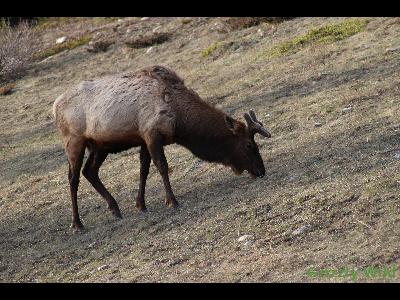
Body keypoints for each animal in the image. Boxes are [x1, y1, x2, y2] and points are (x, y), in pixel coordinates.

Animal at [53, 65, 272, 230]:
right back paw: (77, 223)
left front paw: (141, 205)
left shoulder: (144, 138)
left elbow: (144, 170)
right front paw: (172, 201)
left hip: (100, 146)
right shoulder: (152, 134)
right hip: (74, 141)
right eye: (249, 144)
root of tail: (54, 107)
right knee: (73, 178)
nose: (261, 170)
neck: (181, 121)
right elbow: (162, 167)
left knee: (89, 171)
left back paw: (114, 208)